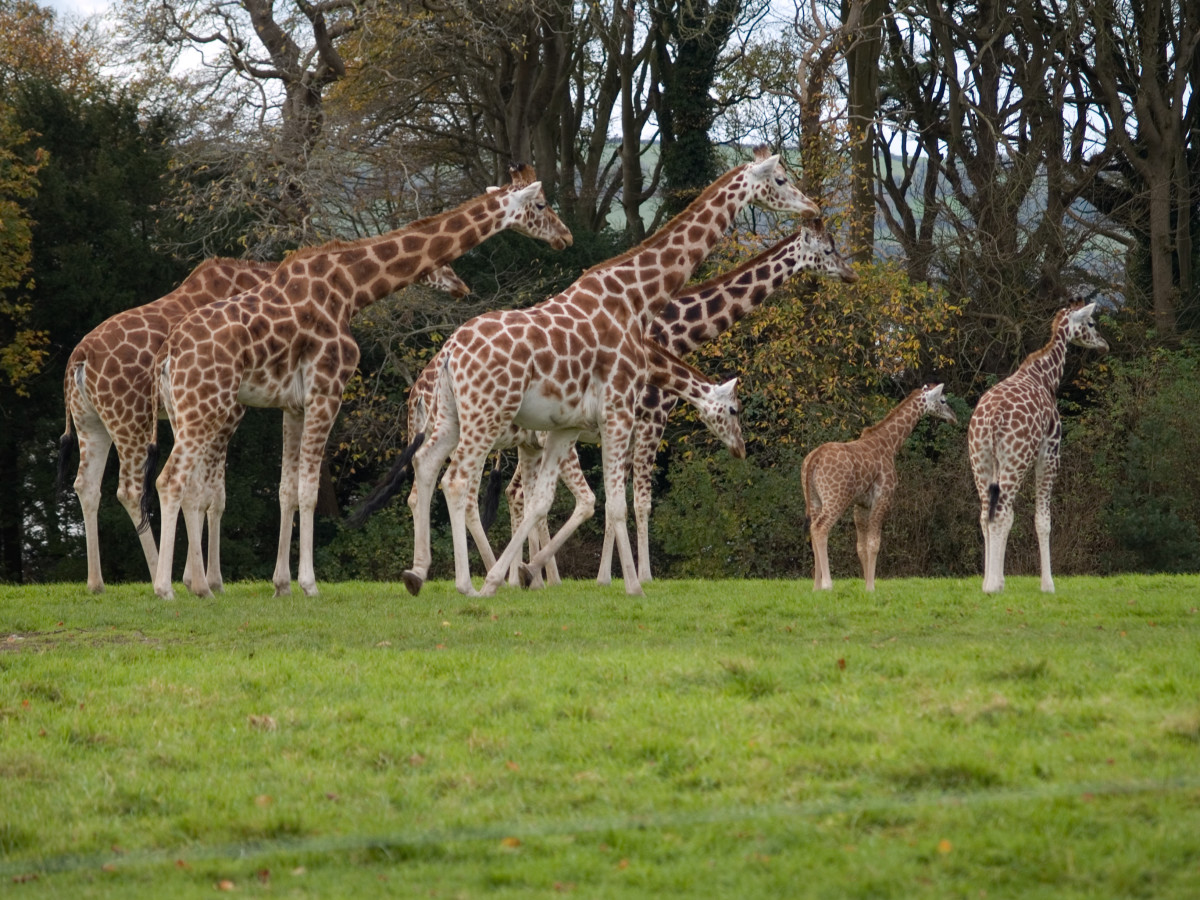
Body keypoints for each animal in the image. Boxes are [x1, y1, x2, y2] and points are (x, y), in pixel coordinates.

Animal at [150, 164, 571, 600]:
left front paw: (282, 584)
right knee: (170, 480)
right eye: (541, 205)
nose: (566, 236)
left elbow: (287, 490)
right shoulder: (327, 389)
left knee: (190, 487)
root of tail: (167, 356)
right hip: (205, 407)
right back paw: (167, 588)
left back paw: (199, 585)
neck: (351, 288)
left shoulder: (293, 404)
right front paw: (309, 584)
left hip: (187, 411)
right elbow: (309, 489)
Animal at [405, 148, 825, 600]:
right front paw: (632, 583)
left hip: (456, 419)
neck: (636, 298)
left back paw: (423, 574)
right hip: (487, 415)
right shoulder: (623, 415)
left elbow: (559, 500)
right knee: (458, 482)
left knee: (428, 470)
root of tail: (447, 355)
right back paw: (468, 583)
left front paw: (526, 574)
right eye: (780, 179)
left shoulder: (572, 425)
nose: (813, 208)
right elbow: (622, 503)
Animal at [801, 386, 960, 592]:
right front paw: (871, 588)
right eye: (943, 400)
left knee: (812, 531)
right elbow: (874, 543)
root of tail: (814, 459)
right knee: (820, 528)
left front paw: (866, 585)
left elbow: (861, 546)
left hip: (814, 499)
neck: (891, 444)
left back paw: (816, 587)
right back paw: (827, 584)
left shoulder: (861, 504)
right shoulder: (883, 496)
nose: (953, 417)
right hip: (836, 497)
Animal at [964, 303, 1104, 595]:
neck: (1046, 376)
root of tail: (992, 419)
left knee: (986, 514)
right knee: (1002, 513)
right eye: (1092, 323)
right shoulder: (1050, 452)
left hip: (979, 459)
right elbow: (1043, 520)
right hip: (1016, 459)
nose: (1104, 344)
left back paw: (987, 582)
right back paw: (993, 586)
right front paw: (1048, 584)